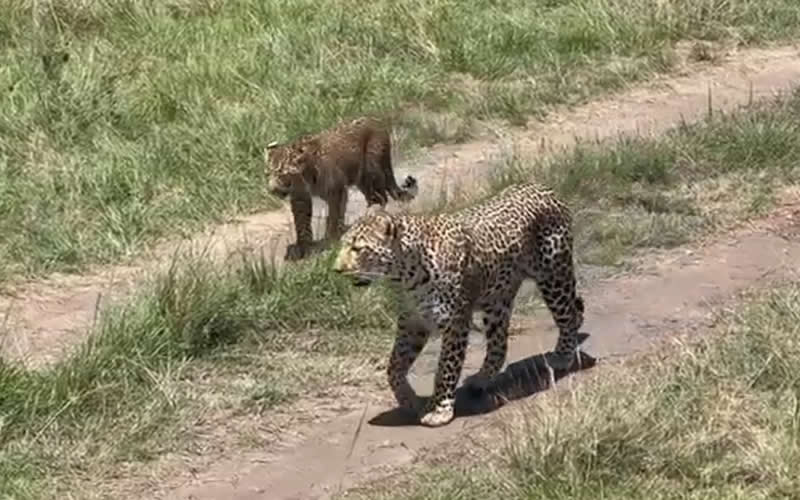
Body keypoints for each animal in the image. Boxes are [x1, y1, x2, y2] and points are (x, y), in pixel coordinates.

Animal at [265, 116, 418, 261]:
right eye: (267, 174)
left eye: (282, 174)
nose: (272, 190)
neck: (305, 178)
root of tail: (375, 121)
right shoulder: (300, 197)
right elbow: (302, 222)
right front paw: (303, 246)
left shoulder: (336, 190)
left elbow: (334, 214)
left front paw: (331, 237)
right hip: (361, 178)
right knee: (373, 196)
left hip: (371, 168)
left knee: (381, 196)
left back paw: (372, 214)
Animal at [332, 182, 585, 427]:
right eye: (343, 245)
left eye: (357, 248)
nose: (336, 270)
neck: (404, 277)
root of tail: (545, 188)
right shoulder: (412, 322)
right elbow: (394, 365)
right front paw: (409, 400)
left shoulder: (455, 323)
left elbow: (446, 368)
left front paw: (440, 410)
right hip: (497, 299)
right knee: (499, 345)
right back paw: (481, 379)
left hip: (553, 277)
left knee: (569, 317)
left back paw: (563, 356)